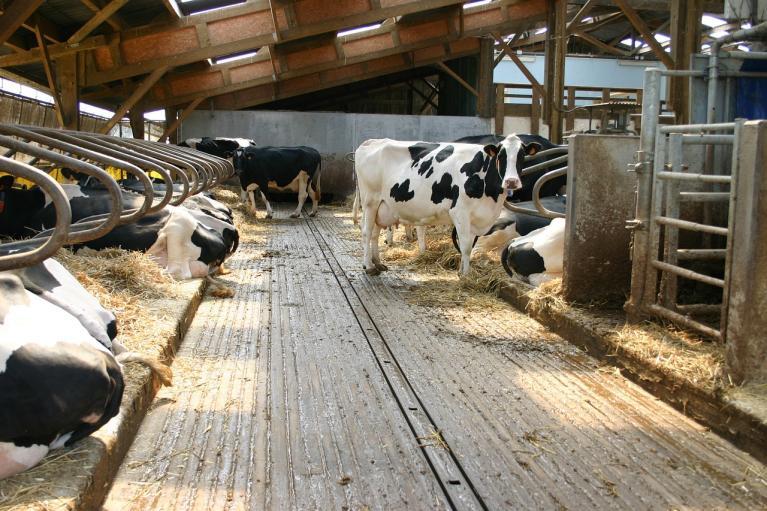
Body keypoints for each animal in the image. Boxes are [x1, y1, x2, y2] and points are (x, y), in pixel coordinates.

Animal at [354, 135, 540, 275]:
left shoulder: (476, 218)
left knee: (375, 234)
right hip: (370, 201)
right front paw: (465, 275)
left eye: (522, 156)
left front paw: (461, 271)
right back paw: (369, 267)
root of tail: (372, 141)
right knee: (366, 232)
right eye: (500, 156)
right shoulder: (460, 211)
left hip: (382, 207)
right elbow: (465, 246)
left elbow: (469, 246)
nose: (511, 181)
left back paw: (377, 263)